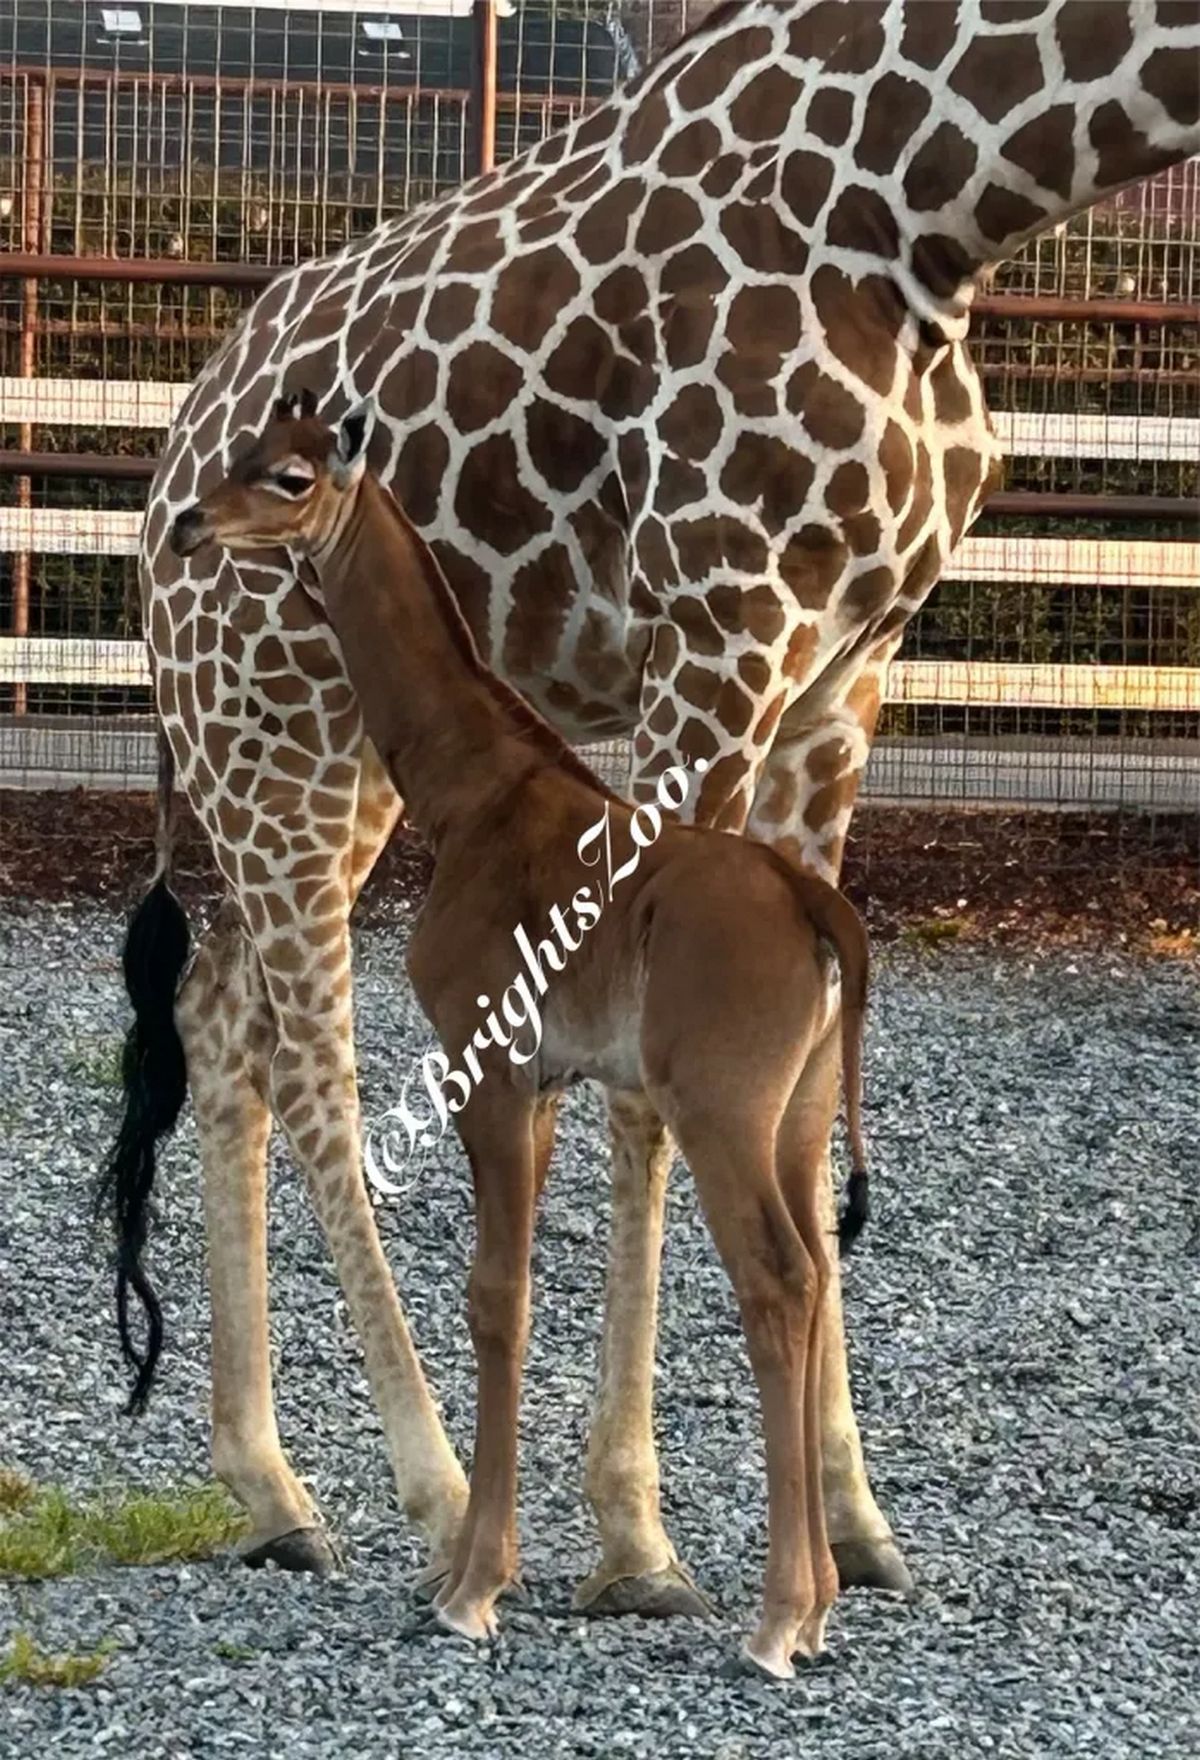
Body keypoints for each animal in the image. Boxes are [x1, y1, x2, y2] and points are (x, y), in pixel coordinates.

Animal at [168, 399, 872, 1675]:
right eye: (242, 452)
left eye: (288, 476)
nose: (192, 521)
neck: (467, 795)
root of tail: (818, 908)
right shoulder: (543, 1082)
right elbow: (519, 1289)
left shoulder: (485, 1060)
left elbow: (495, 1294)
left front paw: (471, 1583)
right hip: (796, 1113)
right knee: (820, 1261)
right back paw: (821, 1599)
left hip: (723, 1104)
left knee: (780, 1274)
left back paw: (778, 1617)